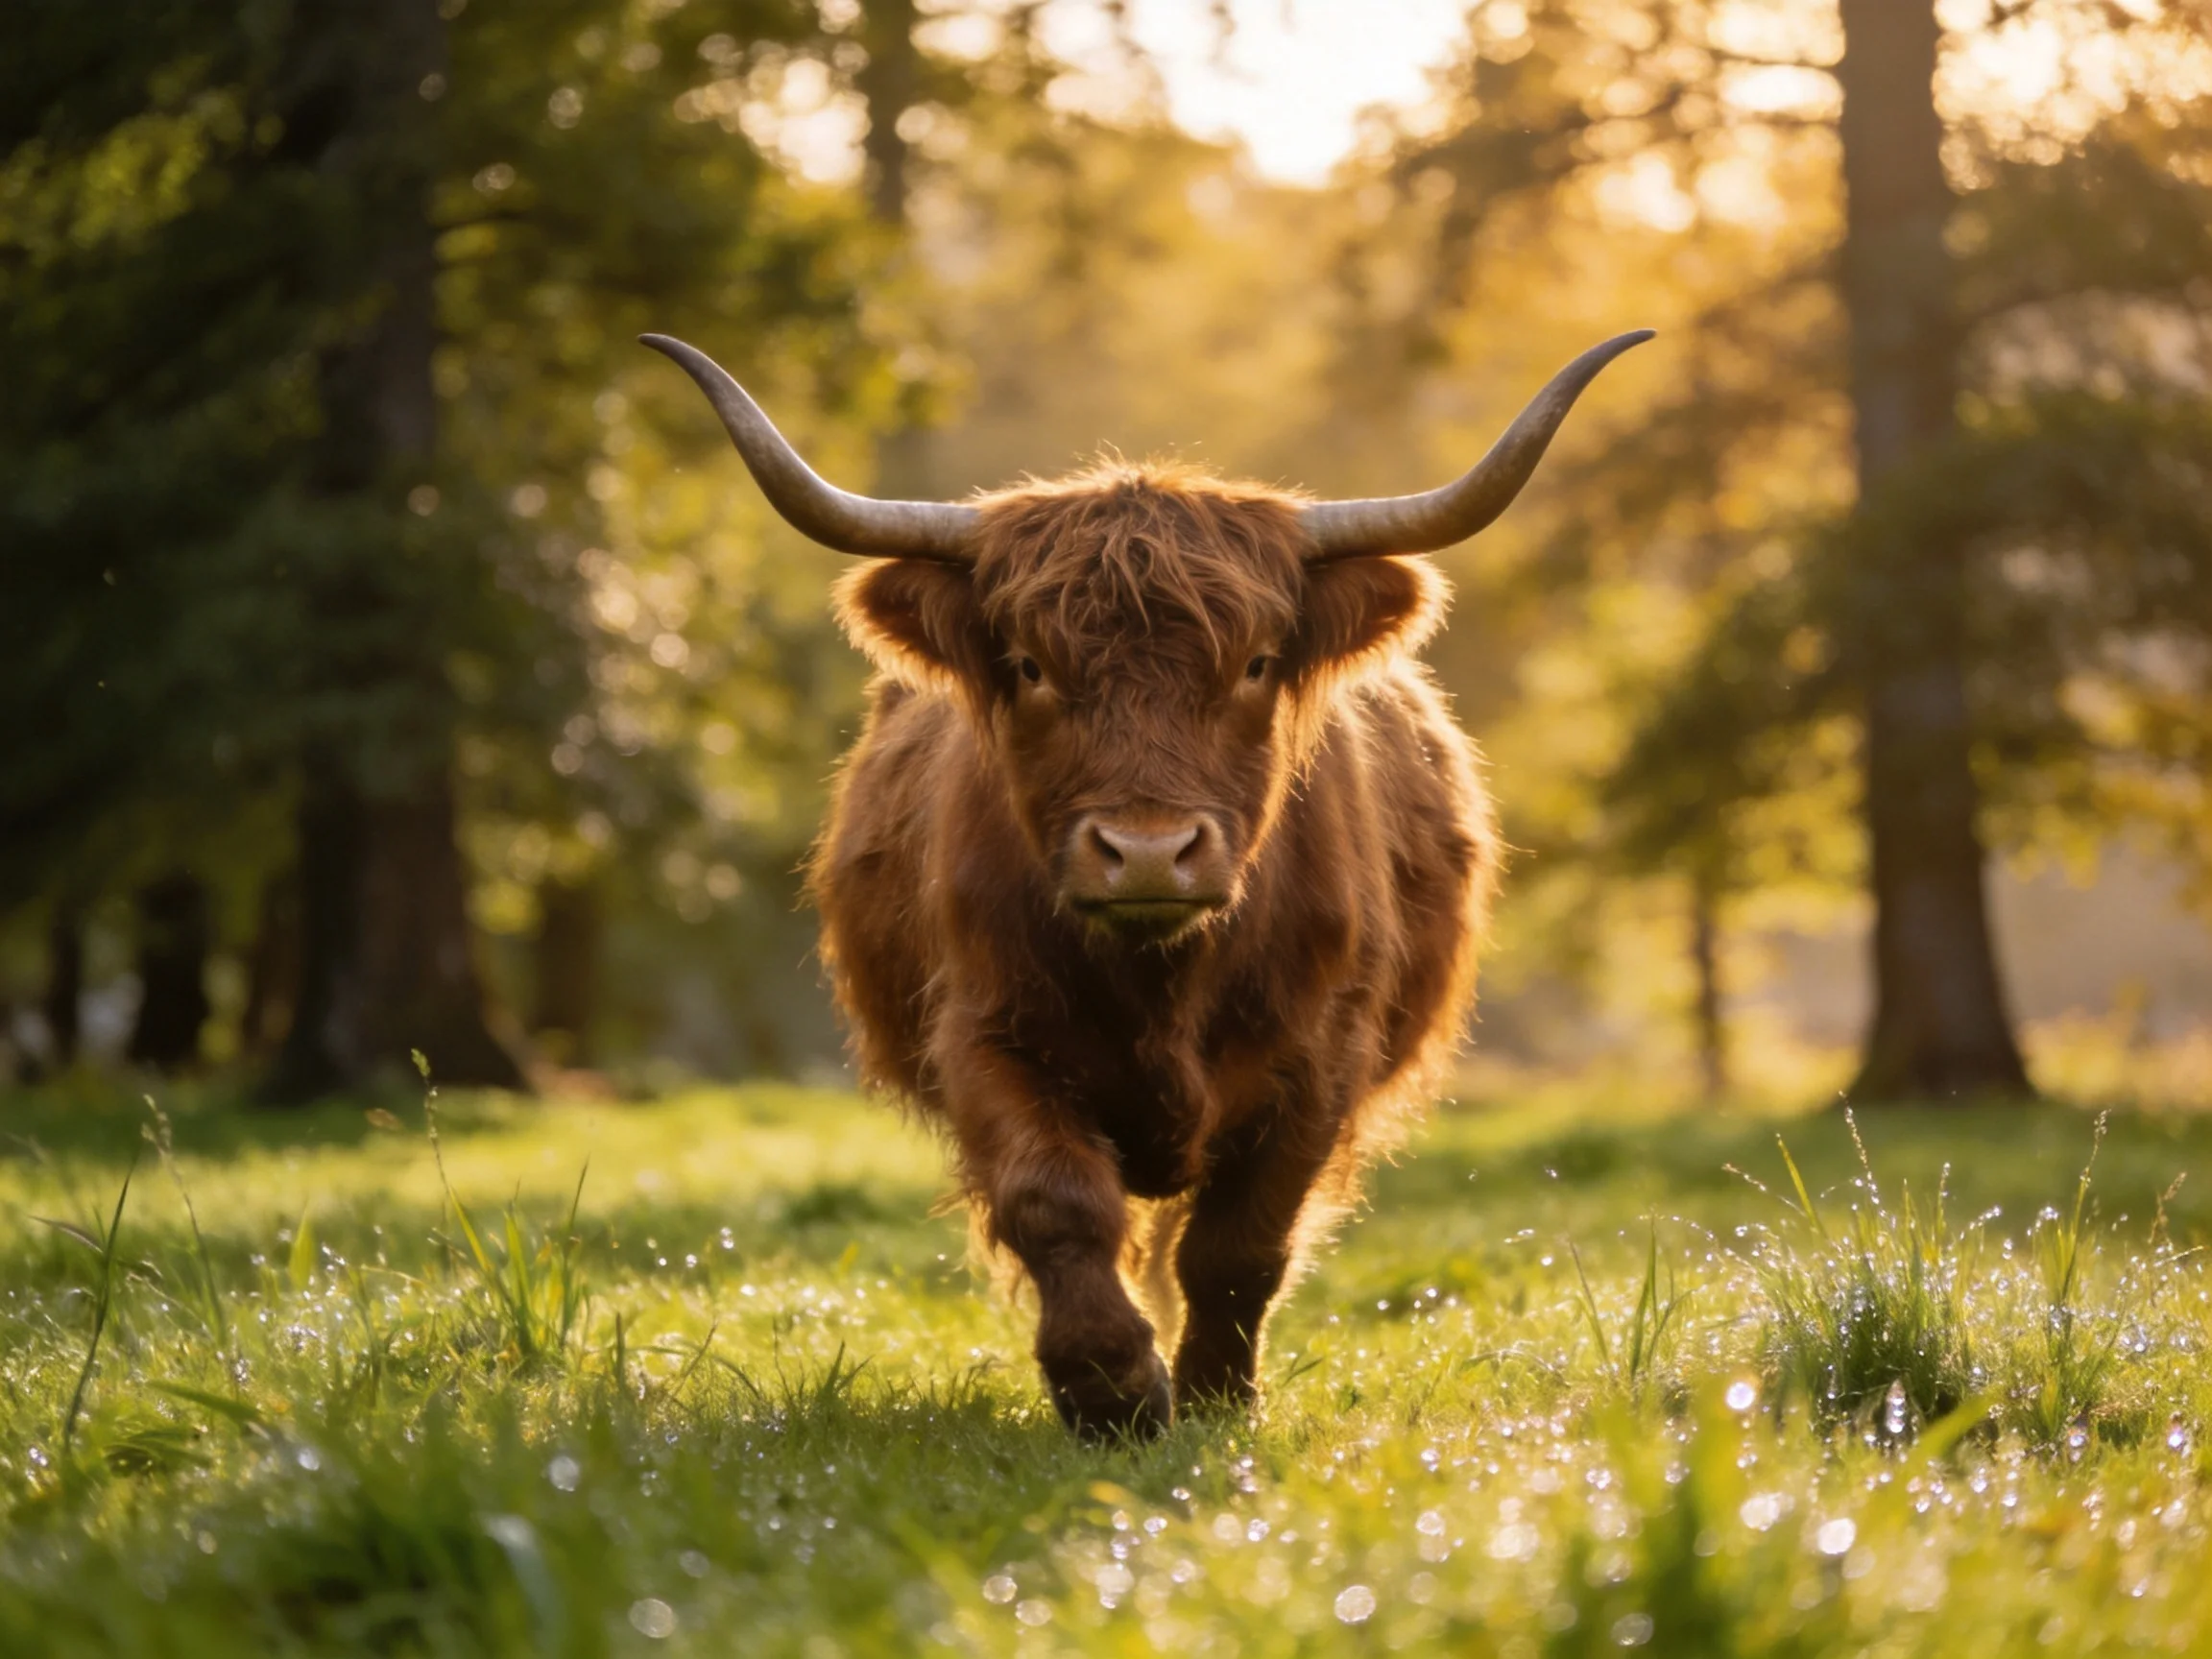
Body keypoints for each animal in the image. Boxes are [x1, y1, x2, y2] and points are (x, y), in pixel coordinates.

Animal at [643, 328, 1649, 1437]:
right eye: (1030, 666)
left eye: (1255, 663)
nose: (1150, 850)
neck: (1163, 979)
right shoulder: (983, 1033)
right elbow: (1055, 1203)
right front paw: (1113, 1389)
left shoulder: (1321, 1057)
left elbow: (1241, 1244)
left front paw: (1214, 1396)